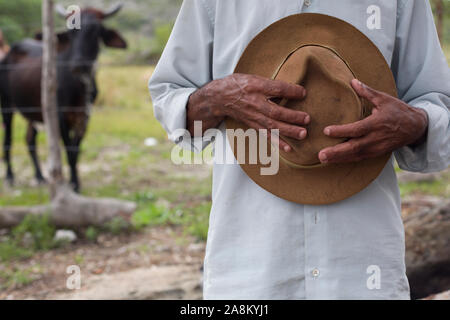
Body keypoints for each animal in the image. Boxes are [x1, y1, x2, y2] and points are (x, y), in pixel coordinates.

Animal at [0, 4, 126, 190]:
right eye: (70, 31)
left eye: (96, 30)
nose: (78, 65)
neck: (79, 87)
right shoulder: (60, 117)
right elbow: (69, 151)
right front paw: (73, 184)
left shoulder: (84, 117)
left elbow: (76, 150)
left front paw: (76, 182)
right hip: (7, 106)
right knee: (8, 139)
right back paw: (10, 176)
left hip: (34, 112)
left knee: (29, 140)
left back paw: (40, 176)